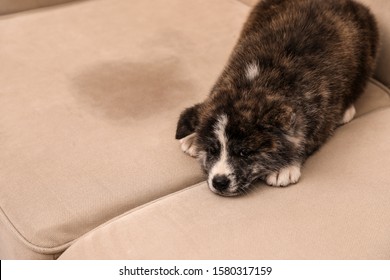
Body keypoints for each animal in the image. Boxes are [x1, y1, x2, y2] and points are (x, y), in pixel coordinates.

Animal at [174, 0, 378, 197]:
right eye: (211, 150)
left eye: (244, 152)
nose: (219, 182)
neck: (250, 85)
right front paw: (193, 137)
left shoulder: (322, 114)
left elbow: (308, 137)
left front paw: (285, 167)